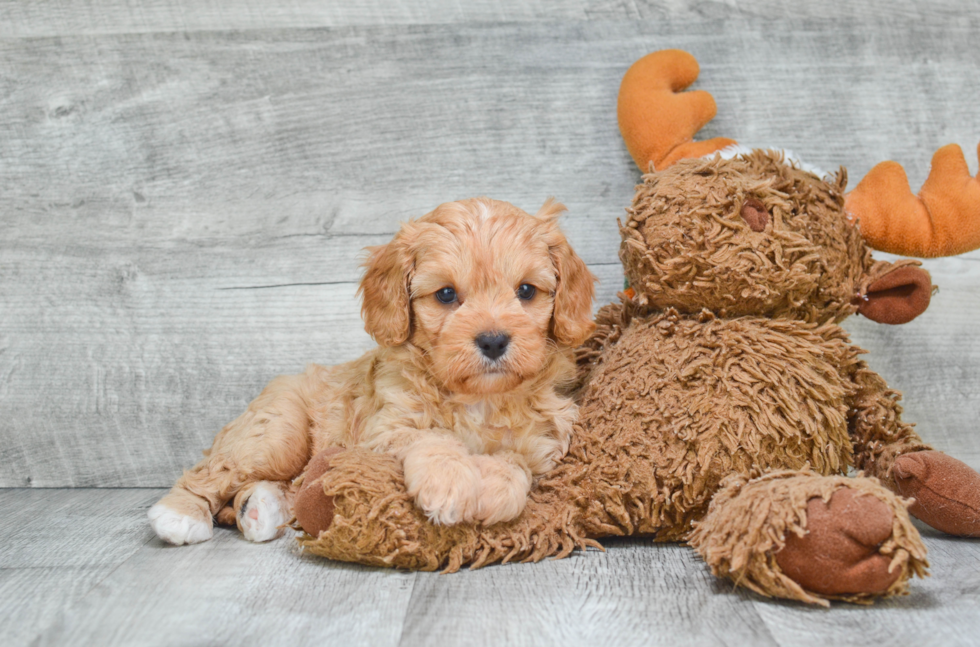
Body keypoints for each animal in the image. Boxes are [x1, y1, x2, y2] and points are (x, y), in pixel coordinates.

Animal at [148, 199, 592, 548]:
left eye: (526, 291)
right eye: (446, 294)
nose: (494, 341)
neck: (479, 398)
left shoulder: (543, 446)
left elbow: (514, 463)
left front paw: (496, 488)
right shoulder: (383, 433)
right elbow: (433, 439)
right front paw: (450, 483)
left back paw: (259, 510)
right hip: (276, 434)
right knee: (214, 471)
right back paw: (180, 514)